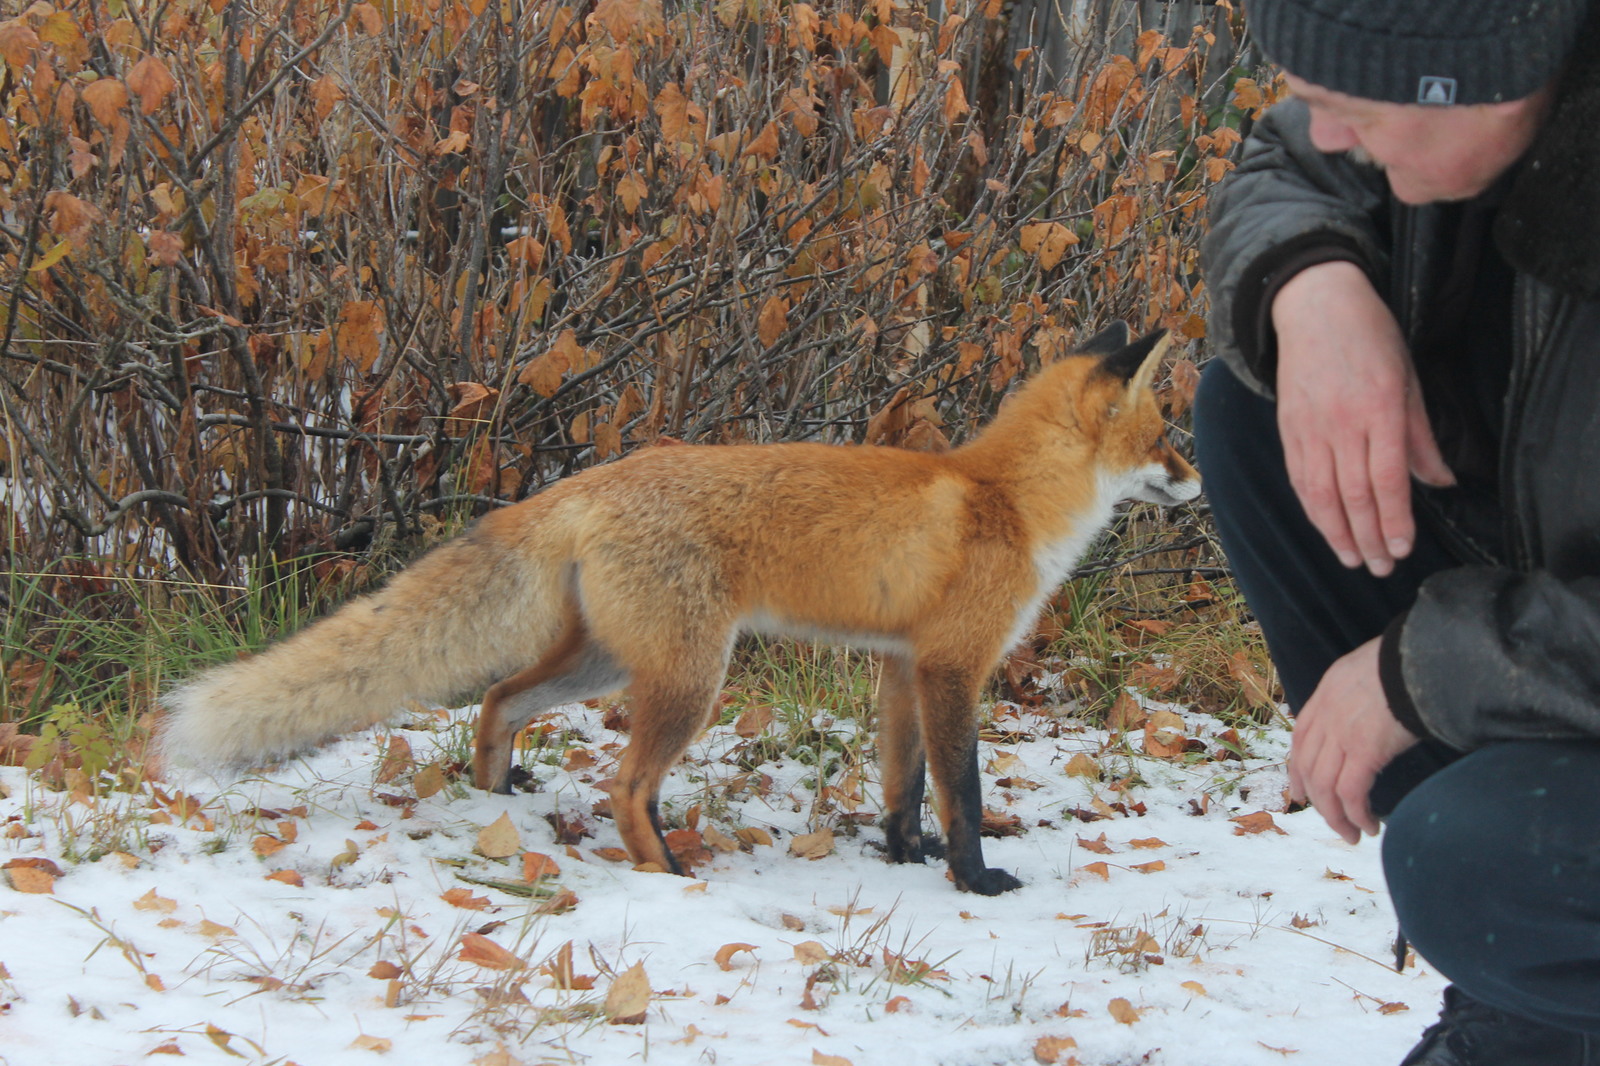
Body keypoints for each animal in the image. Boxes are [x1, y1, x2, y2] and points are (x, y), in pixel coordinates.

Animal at [159, 323, 1203, 889]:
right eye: (1167, 432)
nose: (1199, 483)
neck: (1006, 500)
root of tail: (593, 479)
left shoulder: (902, 665)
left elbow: (905, 785)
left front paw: (905, 856)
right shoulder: (953, 665)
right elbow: (966, 794)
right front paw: (974, 880)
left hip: (610, 663)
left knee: (498, 700)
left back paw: (498, 800)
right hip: (692, 678)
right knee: (625, 785)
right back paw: (665, 874)